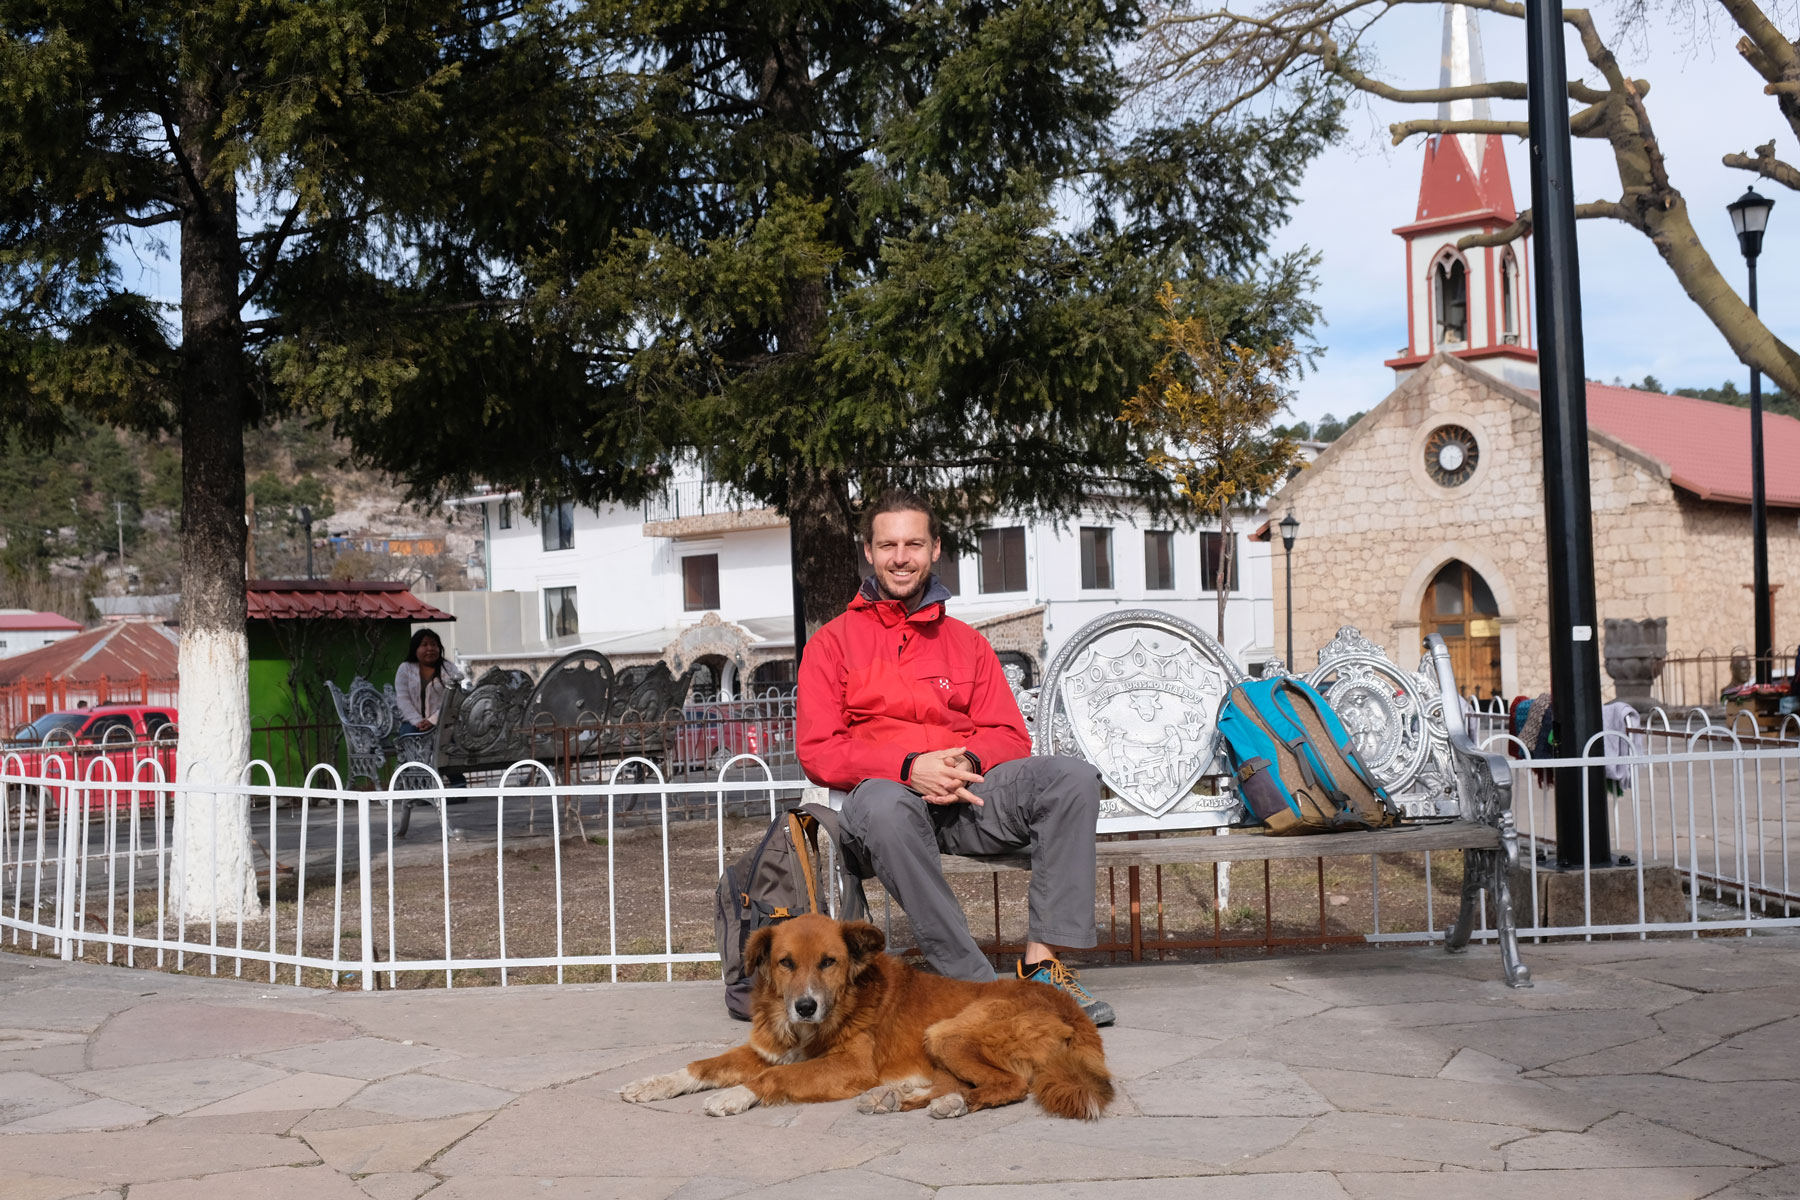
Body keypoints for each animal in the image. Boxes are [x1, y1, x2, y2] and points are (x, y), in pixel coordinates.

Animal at [619, 913, 1108, 1122]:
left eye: (829, 962)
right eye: (785, 963)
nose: (805, 1006)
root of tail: (1070, 1008)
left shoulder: (847, 1067)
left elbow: (772, 1078)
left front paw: (736, 1095)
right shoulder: (764, 1049)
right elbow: (702, 1065)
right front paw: (652, 1083)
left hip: (947, 1032)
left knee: (1008, 1084)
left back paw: (944, 1104)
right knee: (960, 1082)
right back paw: (895, 1098)